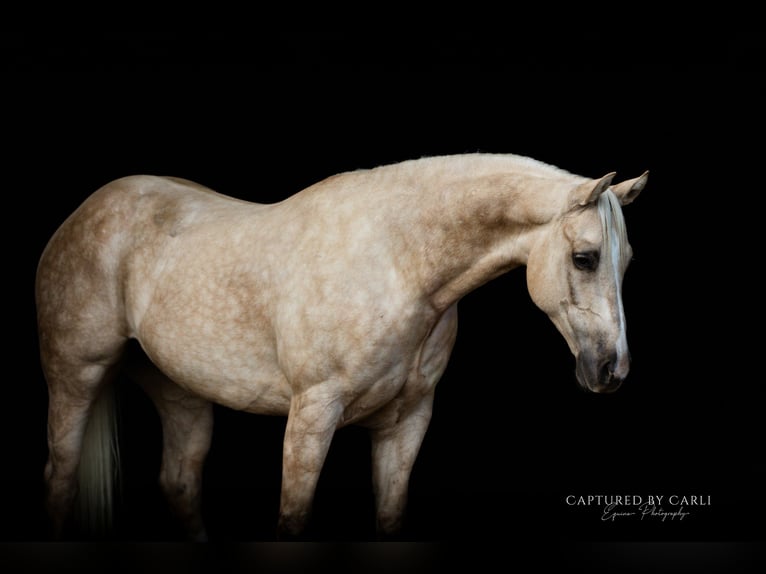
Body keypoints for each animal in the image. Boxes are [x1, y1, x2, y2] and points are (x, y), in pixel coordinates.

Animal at [36, 153, 647, 540]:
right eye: (585, 258)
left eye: (626, 262)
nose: (611, 370)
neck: (397, 261)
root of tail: (83, 213)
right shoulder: (312, 413)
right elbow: (293, 516)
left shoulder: (408, 420)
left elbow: (390, 516)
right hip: (76, 376)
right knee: (60, 477)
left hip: (180, 392)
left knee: (179, 483)